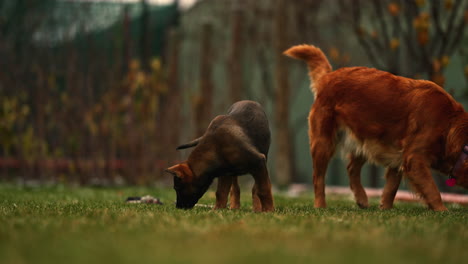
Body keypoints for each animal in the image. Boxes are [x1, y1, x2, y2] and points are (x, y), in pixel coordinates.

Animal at [284, 44, 466, 210]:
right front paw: (442, 211)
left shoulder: (399, 158)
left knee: (351, 169)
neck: (448, 123)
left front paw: (385, 209)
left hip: (364, 138)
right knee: (318, 177)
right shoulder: (414, 158)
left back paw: (362, 199)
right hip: (324, 142)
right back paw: (320, 205)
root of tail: (328, 76)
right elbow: (432, 190)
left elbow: (391, 187)